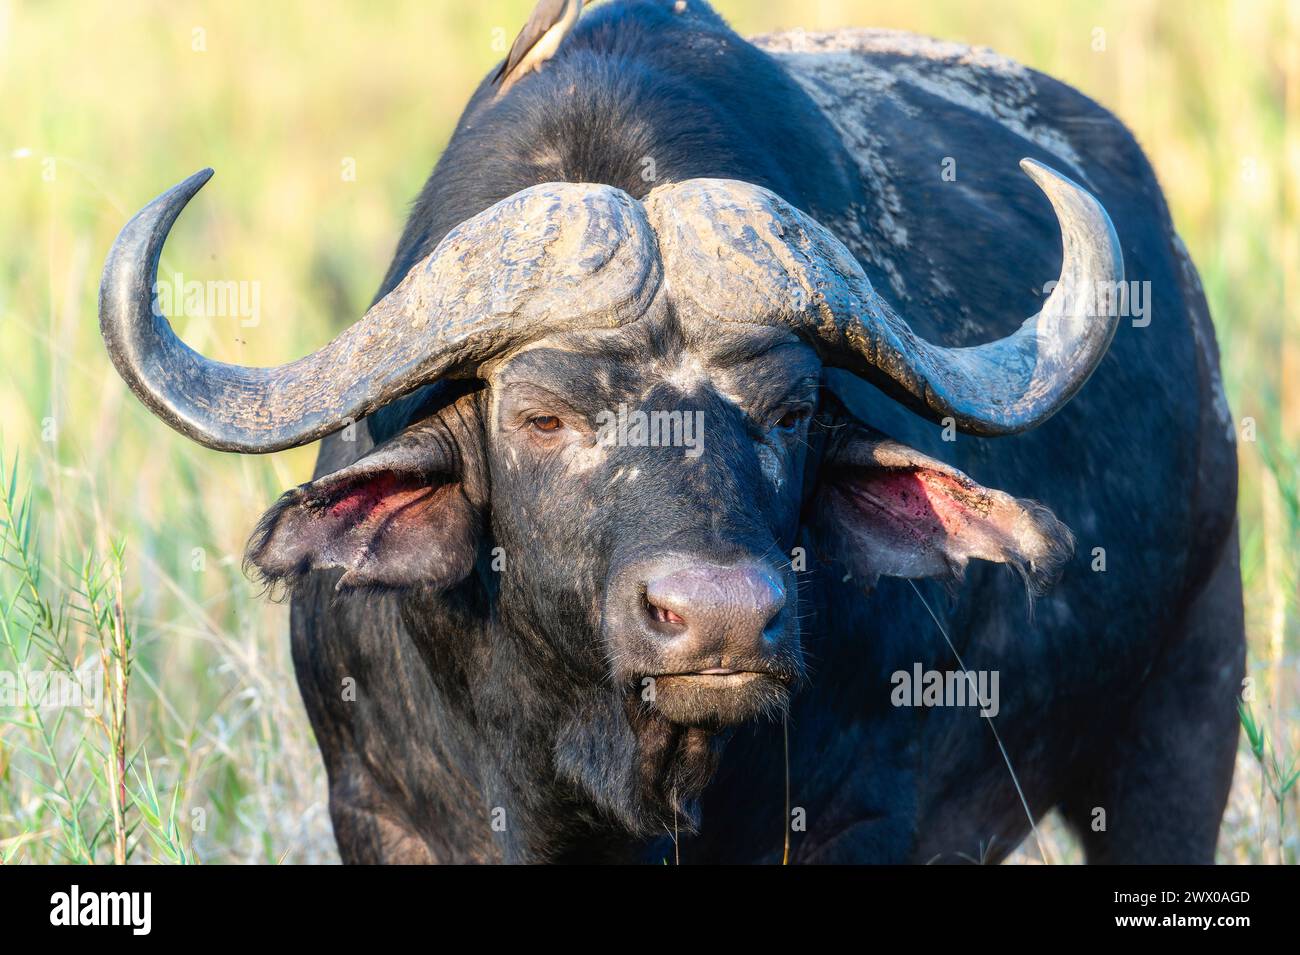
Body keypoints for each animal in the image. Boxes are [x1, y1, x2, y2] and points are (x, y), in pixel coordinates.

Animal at [99, 0, 1243, 863]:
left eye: (788, 412)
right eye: (542, 417)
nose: (722, 619)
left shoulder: (860, 818)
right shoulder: (381, 810)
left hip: (1186, 714)